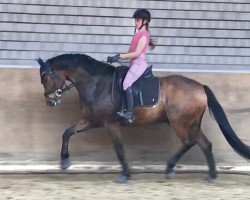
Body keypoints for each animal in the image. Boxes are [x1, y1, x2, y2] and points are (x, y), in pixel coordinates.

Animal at [37, 53, 250, 183]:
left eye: (45, 78)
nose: (50, 101)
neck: (96, 83)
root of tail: (200, 87)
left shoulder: (110, 123)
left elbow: (119, 150)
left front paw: (125, 175)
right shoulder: (92, 120)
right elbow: (67, 132)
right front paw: (64, 162)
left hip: (179, 122)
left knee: (189, 142)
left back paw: (170, 168)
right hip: (192, 123)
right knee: (205, 144)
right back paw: (211, 175)